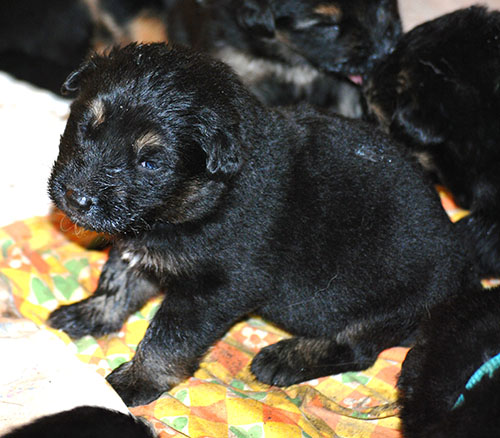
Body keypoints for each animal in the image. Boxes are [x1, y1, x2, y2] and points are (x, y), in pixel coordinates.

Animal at [47, 43, 478, 407]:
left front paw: (138, 380)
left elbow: (167, 338)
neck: (205, 198)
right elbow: (116, 282)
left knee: (357, 350)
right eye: (85, 127)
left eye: (150, 162)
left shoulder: (217, 288)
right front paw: (89, 313)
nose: (76, 198)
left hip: (390, 307)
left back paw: (284, 358)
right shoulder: (139, 243)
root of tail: (463, 274)